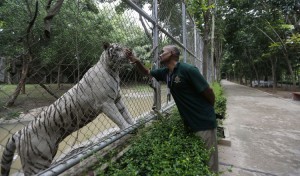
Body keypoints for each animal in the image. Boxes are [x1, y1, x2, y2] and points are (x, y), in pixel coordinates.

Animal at [0, 43, 135, 176]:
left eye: (124, 46)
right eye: (117, 48)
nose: (129, 51)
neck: (113, 70)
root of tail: (19, 132)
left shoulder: (117, 99)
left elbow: (126, 113)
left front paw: (133, 124)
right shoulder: (106, 103)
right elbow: (119, 118)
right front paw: (127, 128)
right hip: (36, 163)